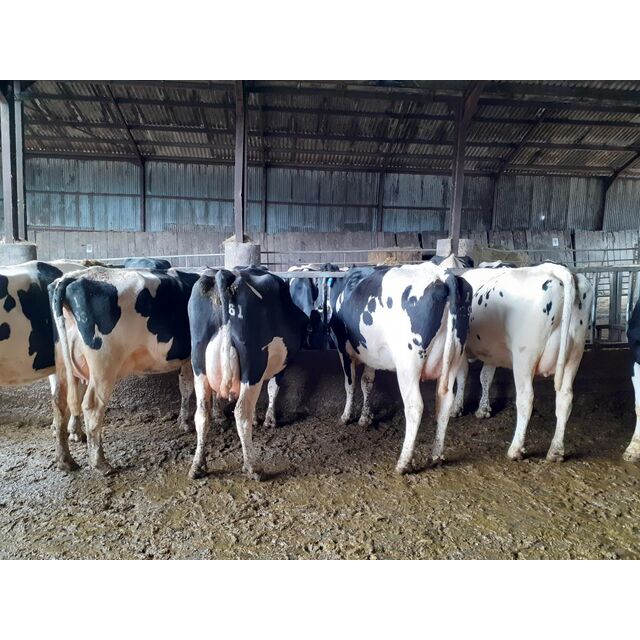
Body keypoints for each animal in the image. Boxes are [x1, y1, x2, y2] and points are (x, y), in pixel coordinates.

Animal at [49, 266, 199, 474]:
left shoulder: (187, 359)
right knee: (92, 406)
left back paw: (65, 460)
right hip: (103, 366)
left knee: (59, 404)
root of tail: (73, 278)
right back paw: (100, 463)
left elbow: (185, 387)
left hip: (63, 364)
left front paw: (184, 422)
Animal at [187, 266, 309, 480]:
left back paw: (197, 466)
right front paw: (270, 420)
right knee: (241, 411)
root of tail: (225, 274)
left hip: (198, 363)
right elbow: (272, 389)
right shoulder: (280, 366)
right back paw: (253, 467)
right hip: (253, 364)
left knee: (202, 414)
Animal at [327, 262, 472, 473]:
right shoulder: (371, 355)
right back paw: (436, 456)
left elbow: (350, 384)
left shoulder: (342, 349)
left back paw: (404, 462)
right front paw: (365, 417)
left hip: (408, 366)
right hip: (454, 358)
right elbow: (366, 383)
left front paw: (346, 416)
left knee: (415, 406)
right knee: (444, 403)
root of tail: (442, 275)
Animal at [450, 263, 593, 462]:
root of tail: (559, 270)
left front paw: (456, 408)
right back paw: (555, 451)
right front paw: (483, 409)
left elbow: (462, 376)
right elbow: (485, 377)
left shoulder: (461, 348)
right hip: (574, 355)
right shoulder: (491, 352)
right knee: (565, 398)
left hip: (524, 357)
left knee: (526, 398)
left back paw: (515, 449)